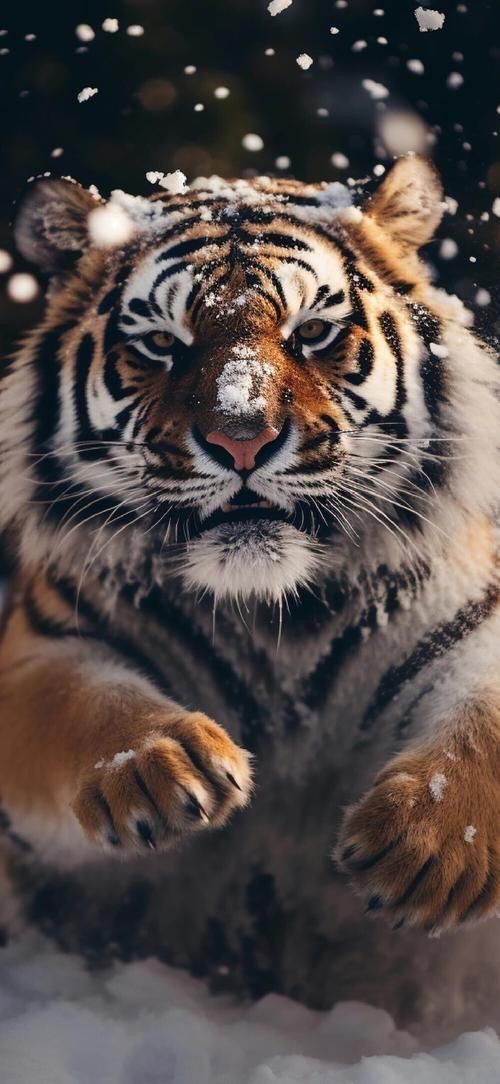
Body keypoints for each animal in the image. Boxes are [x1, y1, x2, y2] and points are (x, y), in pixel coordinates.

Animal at [1, 155, 500, 1024]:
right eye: (161, 344)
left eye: (312, 333)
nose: (242, 439)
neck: (280, 615)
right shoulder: (42, 644)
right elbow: (78, 700)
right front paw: (159, 766)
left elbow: (486, 725)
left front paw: (428, 843)